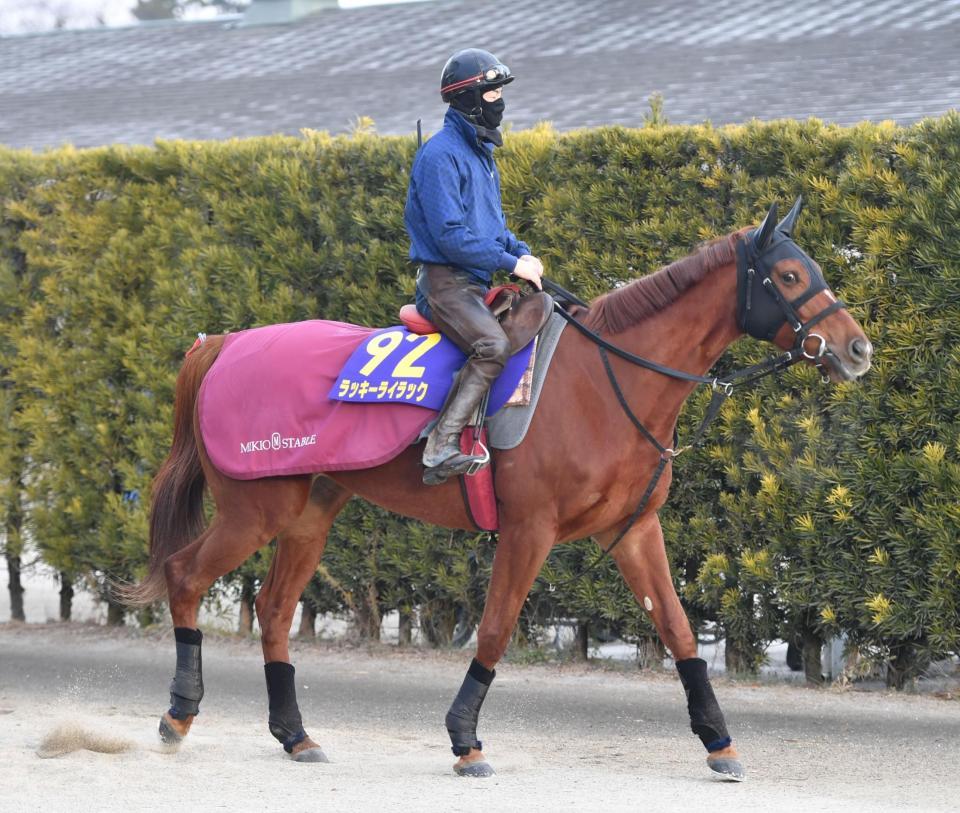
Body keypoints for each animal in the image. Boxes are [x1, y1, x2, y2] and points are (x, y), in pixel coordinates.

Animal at [124, 198, 868, 780]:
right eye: (790, 274)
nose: (857, 348)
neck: (602, 381)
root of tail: (221, 343)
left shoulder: (633, 529)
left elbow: (680, 630)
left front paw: (719, 740)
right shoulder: (528, 528)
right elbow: (495, 627)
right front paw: (465, 737)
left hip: (309, 514)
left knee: (275, 610)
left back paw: (296, 734)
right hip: (256, 509)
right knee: (186, 576)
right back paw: (178, 713)